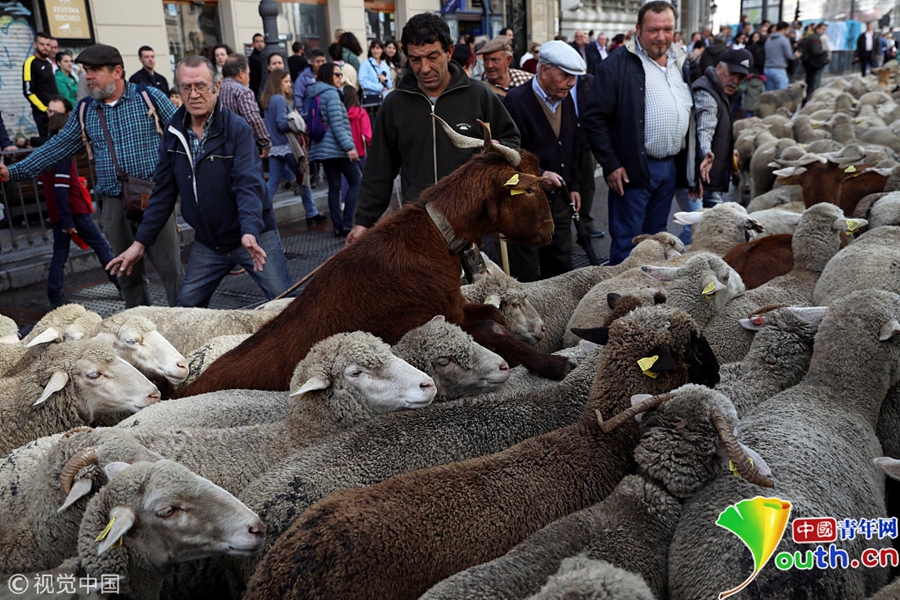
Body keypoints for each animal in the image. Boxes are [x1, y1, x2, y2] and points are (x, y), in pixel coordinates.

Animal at [179, 119, 569, 397]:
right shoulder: (429, 320)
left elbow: (492, 316)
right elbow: (491, 330)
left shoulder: (457, 306)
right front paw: (554, 364)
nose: (550, 231)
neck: (432, 237)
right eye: (530, 189)